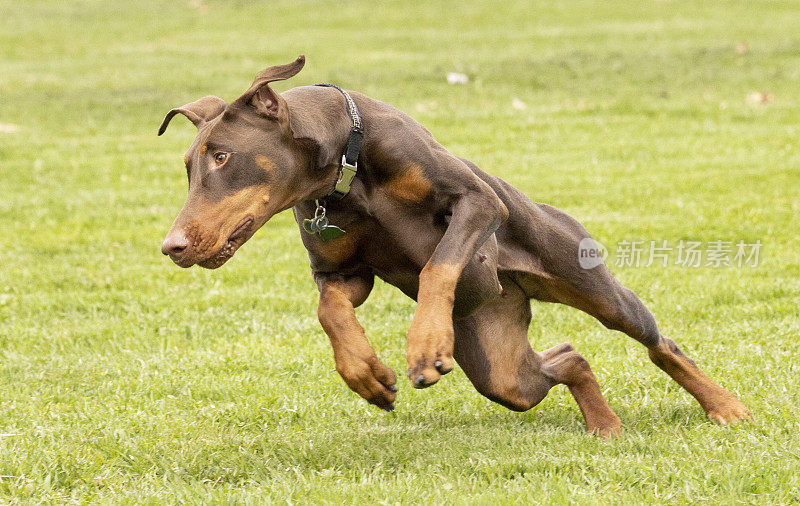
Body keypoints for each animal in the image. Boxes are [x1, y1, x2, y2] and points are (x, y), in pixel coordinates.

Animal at [158, 55, 752, 434]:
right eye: (188, 166)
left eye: (223, 157)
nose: (171, 247)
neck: (345, 167)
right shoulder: (342, 272)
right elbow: (331, 311)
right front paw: (367, 375)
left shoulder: (477, 203)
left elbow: (438, 265)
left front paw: (424, 345)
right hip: (499, 367)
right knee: (565, 359)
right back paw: (605, 428)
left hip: (592, 284)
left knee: (657, 342)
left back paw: (725, 407)